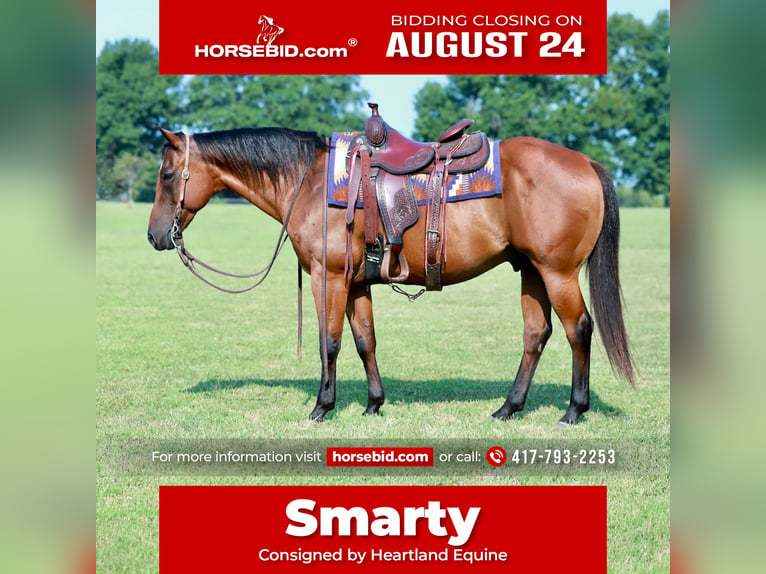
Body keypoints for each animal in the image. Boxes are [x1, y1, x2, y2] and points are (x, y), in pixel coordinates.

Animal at [147, 124, 635, 425]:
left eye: (168, 174)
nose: (154, 236)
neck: (311, 182)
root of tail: (586, 163)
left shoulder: (330, 276)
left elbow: (330, 341)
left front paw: (322, 406)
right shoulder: (357, 282)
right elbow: (365, 339)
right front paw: (373, 404)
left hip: (558, 272)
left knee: (579, 330)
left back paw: (574, 410)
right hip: (532, 270)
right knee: (536, 334)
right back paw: (508, 408)